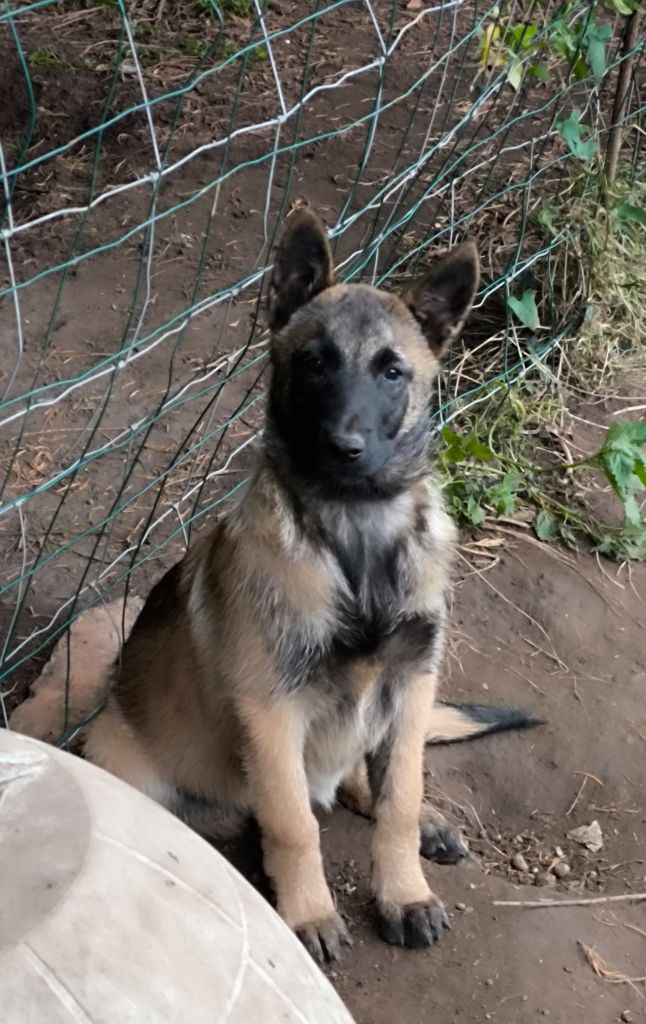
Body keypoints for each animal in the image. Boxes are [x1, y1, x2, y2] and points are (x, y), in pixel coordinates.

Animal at [83, 211, 532, 962]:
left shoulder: (412, 679)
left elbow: (399, 799)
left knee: (372, 777)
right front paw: (309, 915)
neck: (356, 530)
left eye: (392, 371)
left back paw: (422, 818)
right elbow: (295, 827)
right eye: (314, 363)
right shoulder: (271, 711)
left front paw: (404, 890)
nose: (344, 448)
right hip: (121, 758)